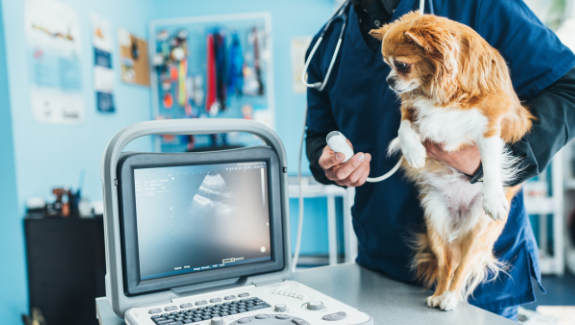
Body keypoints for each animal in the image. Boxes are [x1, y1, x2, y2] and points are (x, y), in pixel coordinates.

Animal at [368, 12, 536, 310]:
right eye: (386, 65)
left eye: (402, 65)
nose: (389, 81)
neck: (444, 92)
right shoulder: (412, 109)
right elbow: (404, 127)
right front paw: (414, 152)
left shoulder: (490, 125)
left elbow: (490, 162)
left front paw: (494, 198)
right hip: (436, 226)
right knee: (447, 264)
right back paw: (438, 294)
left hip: (478, 232)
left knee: (462, 266)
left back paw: (449, 297)